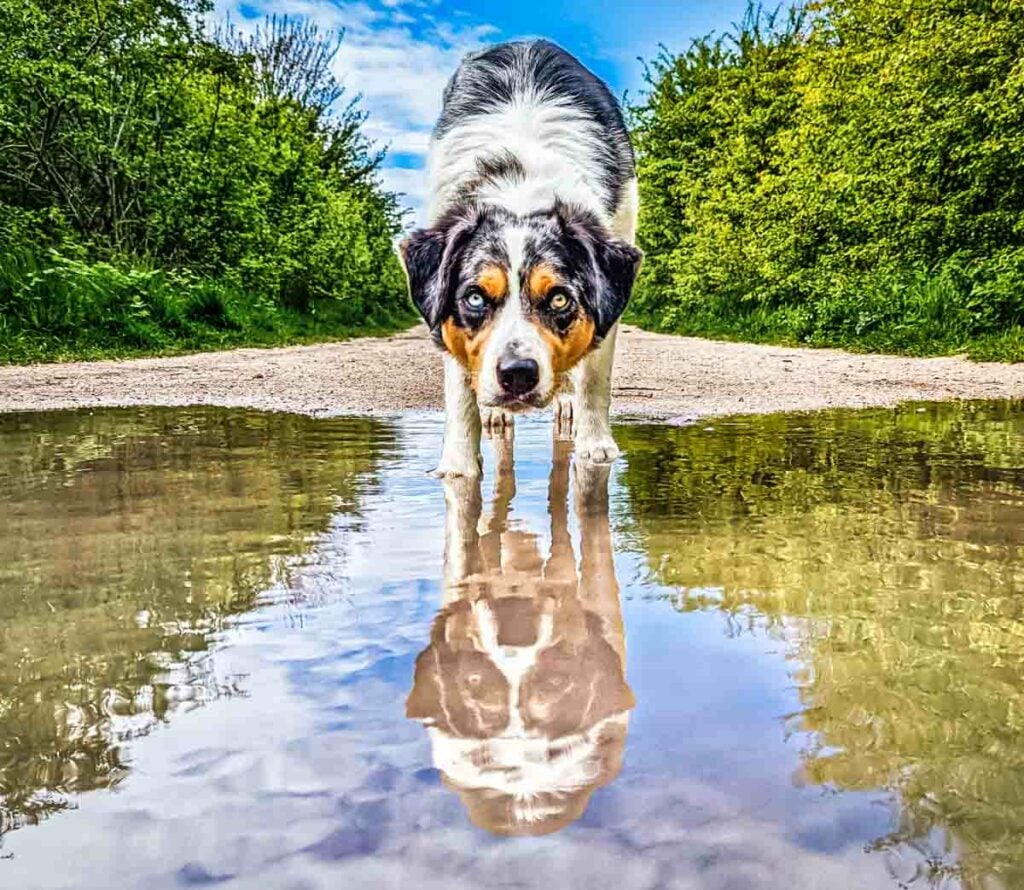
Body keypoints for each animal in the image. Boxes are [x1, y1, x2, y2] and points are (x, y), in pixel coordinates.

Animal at [397, 39, 638, 479]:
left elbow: (595, 377)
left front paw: (595, 446)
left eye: (559, 299)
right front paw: (458, 465)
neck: (519, 188)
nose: (518, 375)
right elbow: (459, 392)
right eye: (475, 297)